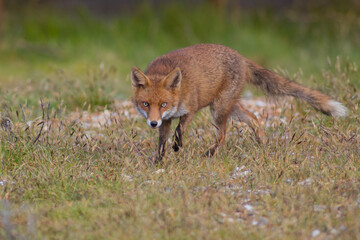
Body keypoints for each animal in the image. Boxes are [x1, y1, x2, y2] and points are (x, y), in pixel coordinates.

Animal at [131, 44, 348, 162]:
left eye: (163, 104)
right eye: (145, 104)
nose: (152, 123)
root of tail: (241, 56)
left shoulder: (189, 109)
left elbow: (179, 130)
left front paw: (177, 146)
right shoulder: (166, 120)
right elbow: (161, 143)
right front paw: (158, 162)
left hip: (218, 109)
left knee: (223, 134)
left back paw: (209, 153)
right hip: (230, 106)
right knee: (254, 118)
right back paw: (262, 145)